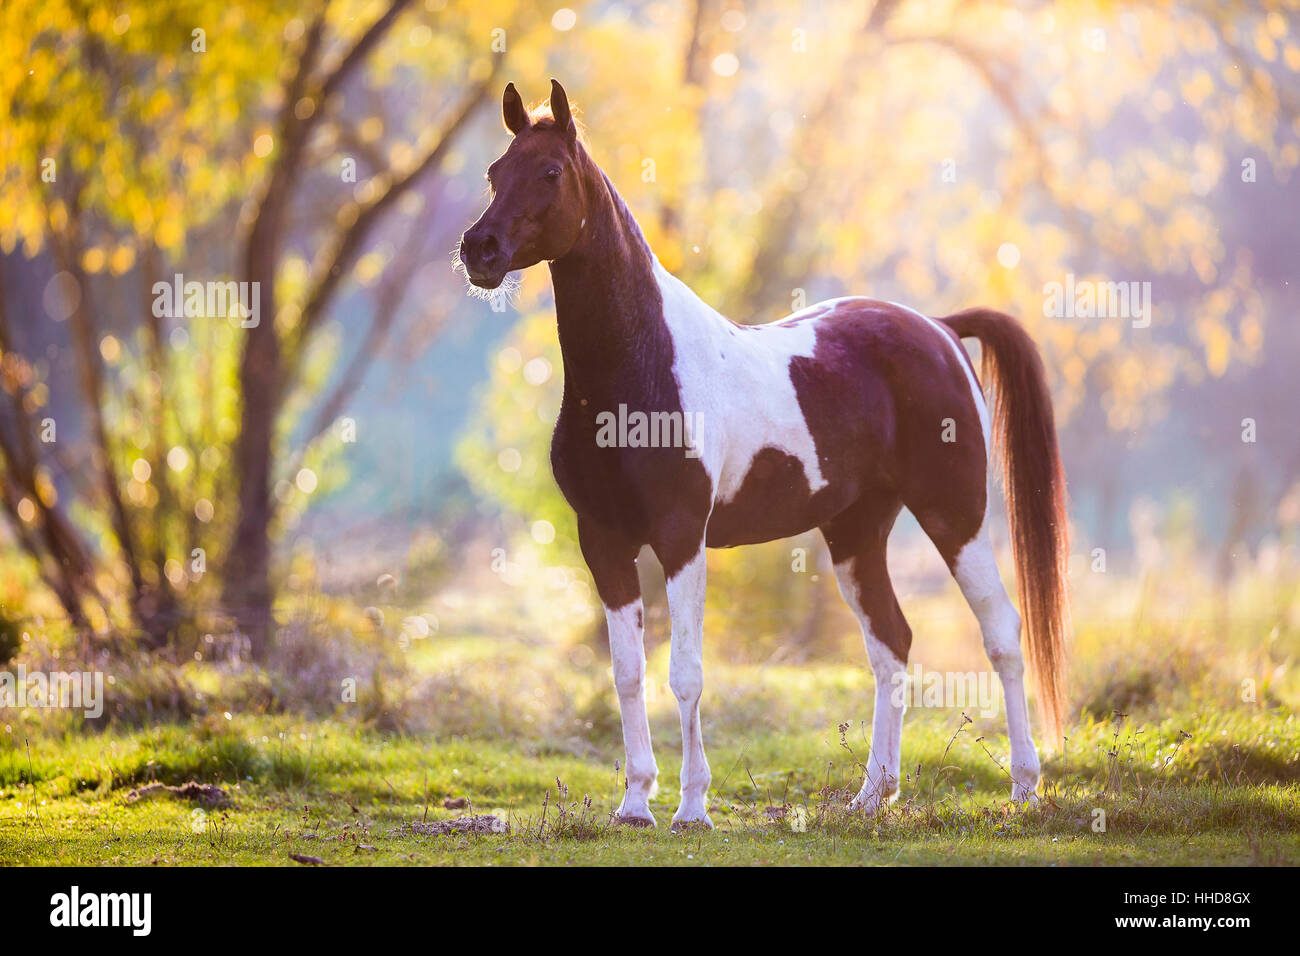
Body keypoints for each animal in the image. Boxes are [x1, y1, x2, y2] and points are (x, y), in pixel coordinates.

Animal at [457, 80, 1066, 832]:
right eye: (494, 172)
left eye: (548, 172)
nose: (479, 249)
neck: (641, 366)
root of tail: (940, 330)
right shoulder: (602, 541)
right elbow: (627, 674)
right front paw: (635, 803)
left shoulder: (681, 538)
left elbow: (685, 674)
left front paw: (692, 808)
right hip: (856, 532)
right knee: (890, 644)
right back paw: (873, 795)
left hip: (957, 516)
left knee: (1002, 633)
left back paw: (1025, 787)